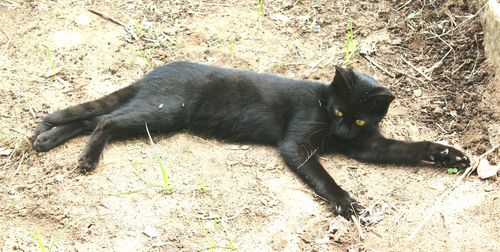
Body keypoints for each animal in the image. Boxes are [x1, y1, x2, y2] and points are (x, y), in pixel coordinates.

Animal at [33, 61, 470, 220]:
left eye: (359, 118)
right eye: (338, 112)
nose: (342, 131)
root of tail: (154, 73)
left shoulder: (367, 145)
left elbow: (408, 148)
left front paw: (451, 155)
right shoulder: (297, 144)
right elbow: (324, 177)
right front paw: (347, 203)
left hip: (156, 113)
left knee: (92, 117)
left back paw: (45, 138)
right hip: (163, 111)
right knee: (105, 119)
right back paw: (86, 158)